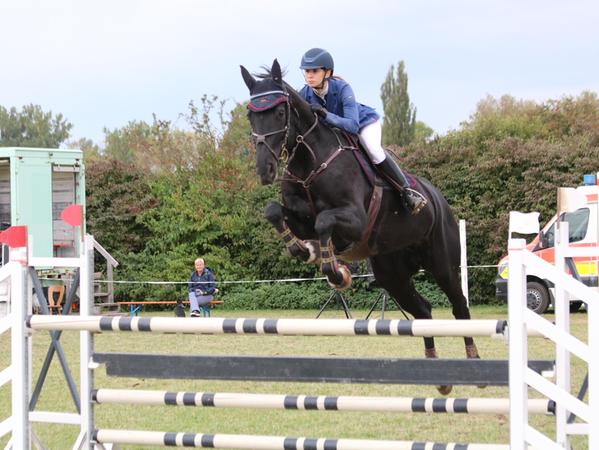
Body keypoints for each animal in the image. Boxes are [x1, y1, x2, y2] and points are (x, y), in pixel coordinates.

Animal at [241, 59, 480, 394]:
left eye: (278, 113)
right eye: (251, 114)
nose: (265, 170)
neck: (310, 161)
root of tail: (438, 198)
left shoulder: (355, 221)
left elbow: (325, 221)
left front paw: (335, 271)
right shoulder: (300, 218)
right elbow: (274, 211)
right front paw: (304, 250)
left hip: (443, 263)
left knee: (459, 306)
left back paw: (472, 359)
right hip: (392, 274)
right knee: (423, 311)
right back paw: (438, 376)